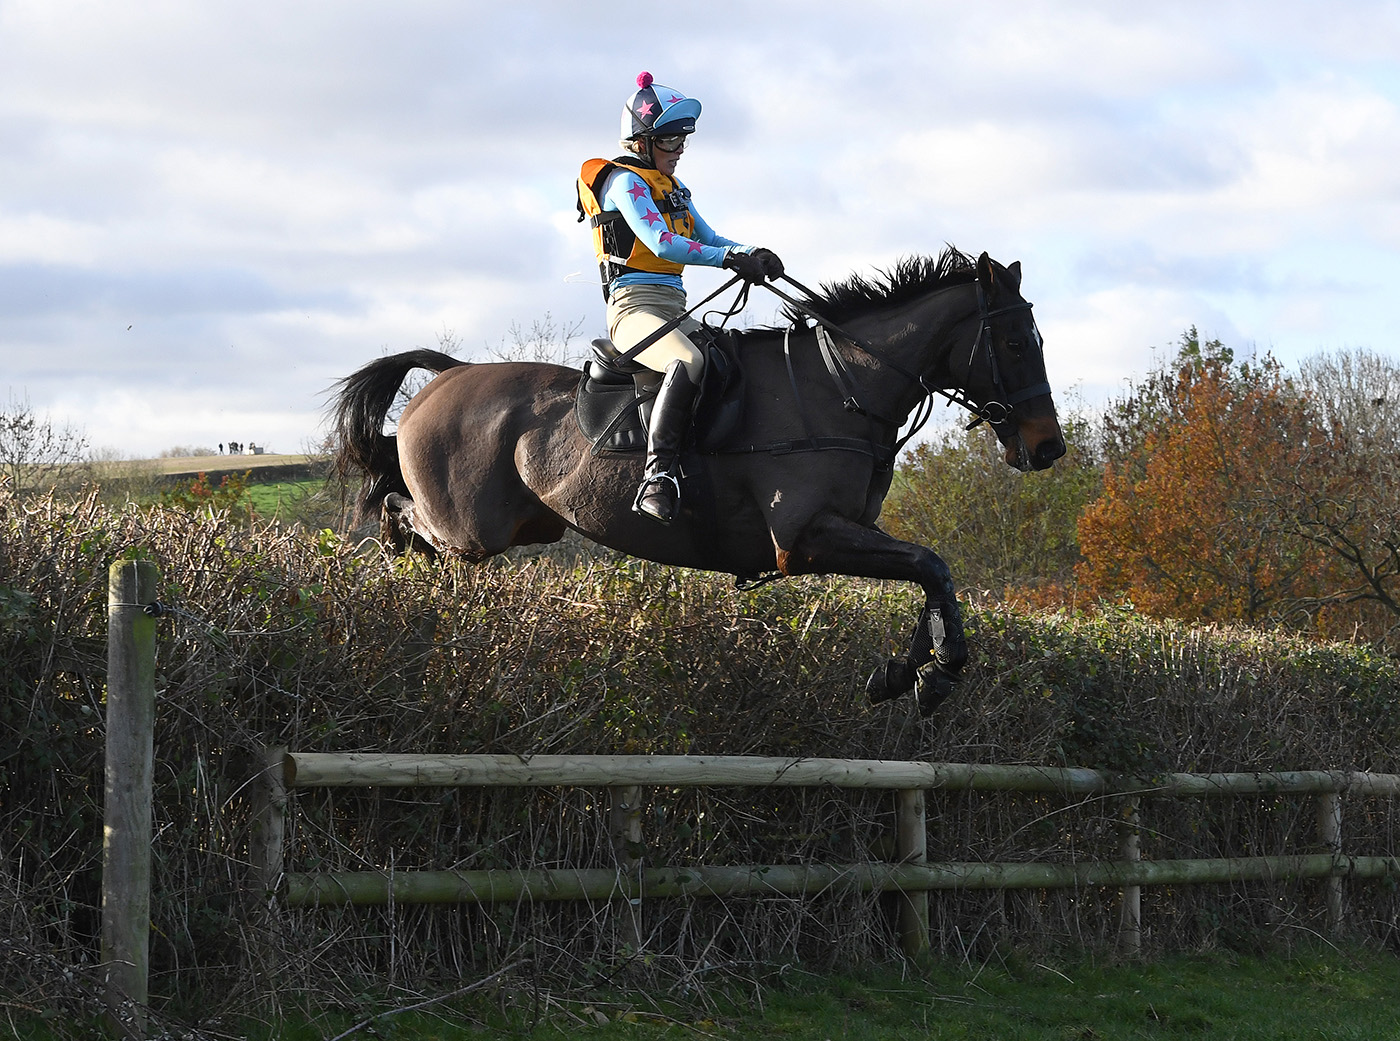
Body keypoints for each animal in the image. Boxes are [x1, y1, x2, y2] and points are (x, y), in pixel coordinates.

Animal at [336, 247, 1058, 716]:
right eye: (1017, 343)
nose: (1047, 447)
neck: (841, 386)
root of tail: (449, 373)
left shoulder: (852, 530)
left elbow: (928, 573)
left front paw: (911, 670)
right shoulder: (803, 539)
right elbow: (930, 564)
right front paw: (936, 673)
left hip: (526, 525)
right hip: (471, 527)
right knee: (403, 510)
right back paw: (395, 564)